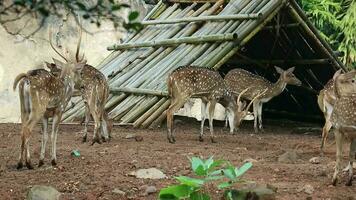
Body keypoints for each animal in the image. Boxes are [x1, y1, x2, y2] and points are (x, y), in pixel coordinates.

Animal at [12, 30, 86, 169]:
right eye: (80, 72)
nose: (83, 85)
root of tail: (27, 79)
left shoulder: (46, 115)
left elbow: (45, 135)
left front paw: (41, 161)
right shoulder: (59, 109)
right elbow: (53, 134)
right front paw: (53, 161)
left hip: (24, 107)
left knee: (22, 129)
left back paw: (23, 163)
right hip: (38, 107)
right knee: (27, 130)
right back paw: (26, 163)